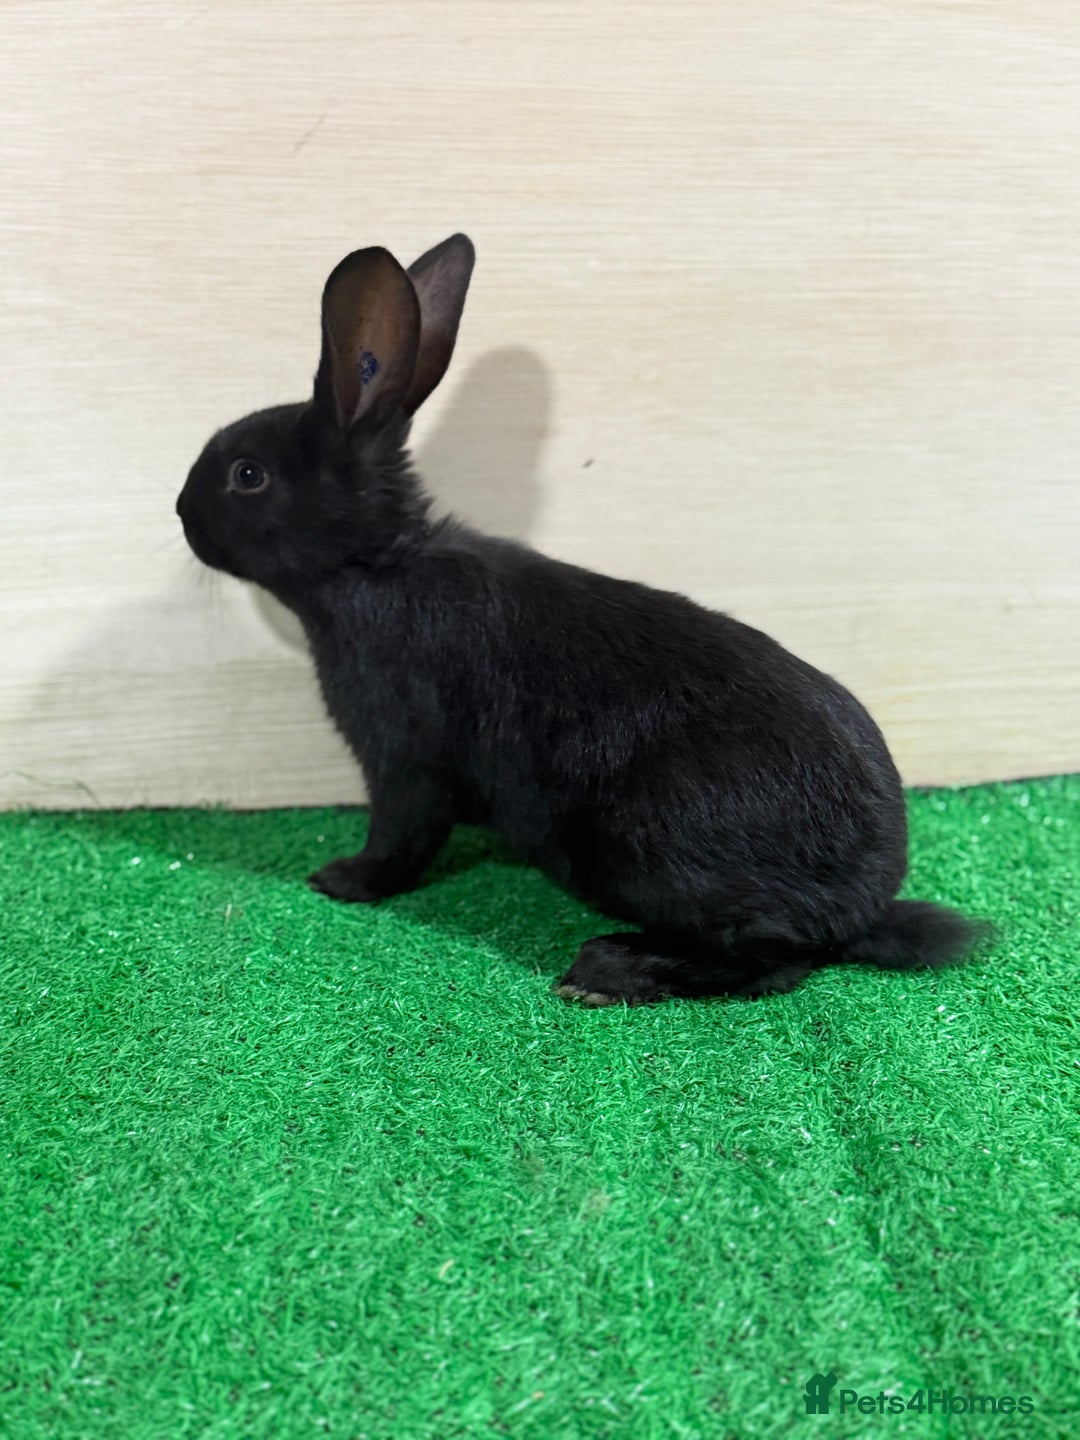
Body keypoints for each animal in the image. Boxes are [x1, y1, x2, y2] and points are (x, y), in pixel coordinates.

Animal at [176, 233, 989, 1005]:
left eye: (247, 475)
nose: (181, 512)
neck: (375, 565)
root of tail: (862, 906)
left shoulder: (404, 758)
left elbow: (403, 837)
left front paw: (342, 880)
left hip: (652, 847)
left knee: (775, 959)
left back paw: (607, 969)